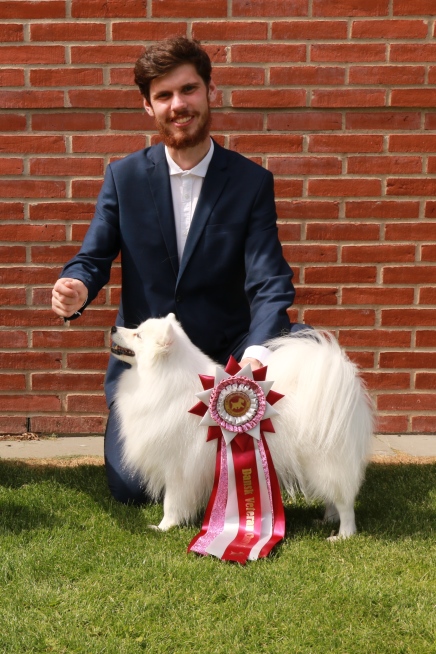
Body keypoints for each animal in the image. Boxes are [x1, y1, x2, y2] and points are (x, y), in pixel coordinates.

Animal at [111, 313, 373, 540]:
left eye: (138, 335)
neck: (163, 380)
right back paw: (326, 520)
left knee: (345, 501)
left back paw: (343, 535)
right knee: (333, 497)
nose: (113, 328)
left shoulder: (178, 467)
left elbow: (171, 502)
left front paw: (163, 527)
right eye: (136, 329)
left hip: (325, 462)